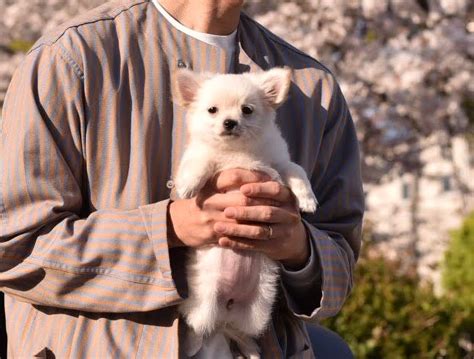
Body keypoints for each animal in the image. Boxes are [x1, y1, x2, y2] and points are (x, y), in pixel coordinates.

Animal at [172, 67, 316, 358]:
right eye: (212, 110)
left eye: (247, 110)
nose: (229, 122)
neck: (238, 151)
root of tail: (225, 310)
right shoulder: (207, 158)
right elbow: (202, 160)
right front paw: (188, 185)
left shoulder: (278, 163)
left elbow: (296, 171)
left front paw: (308, 199)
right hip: (202, 305)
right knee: (198, 328)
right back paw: (192, 344)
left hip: (257, 310)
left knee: (241, 334)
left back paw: (250, 351)